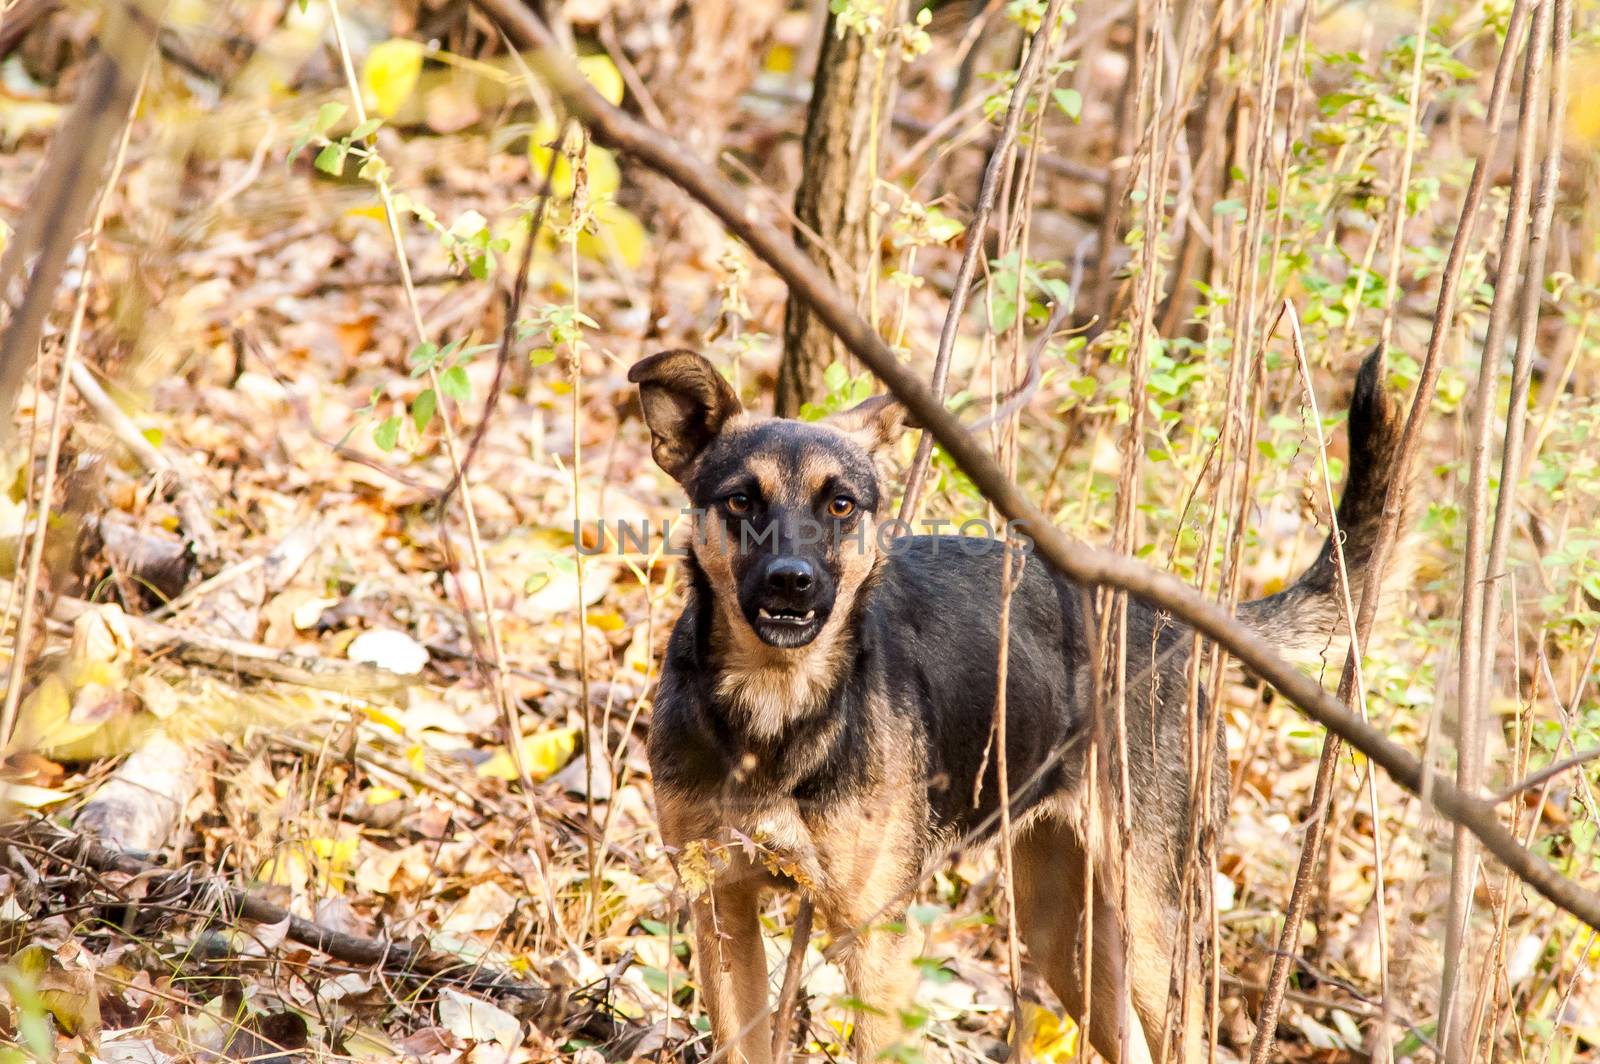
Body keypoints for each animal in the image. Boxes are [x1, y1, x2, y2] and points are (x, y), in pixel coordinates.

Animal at [630, 344, 1408, 1056]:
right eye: (740, 500)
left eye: (841, 504)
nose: (791, 582)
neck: (776, 709)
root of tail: (1170, 618)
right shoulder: (720, 909)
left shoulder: (874, 940)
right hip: (1058, 928)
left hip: (1153, 926)